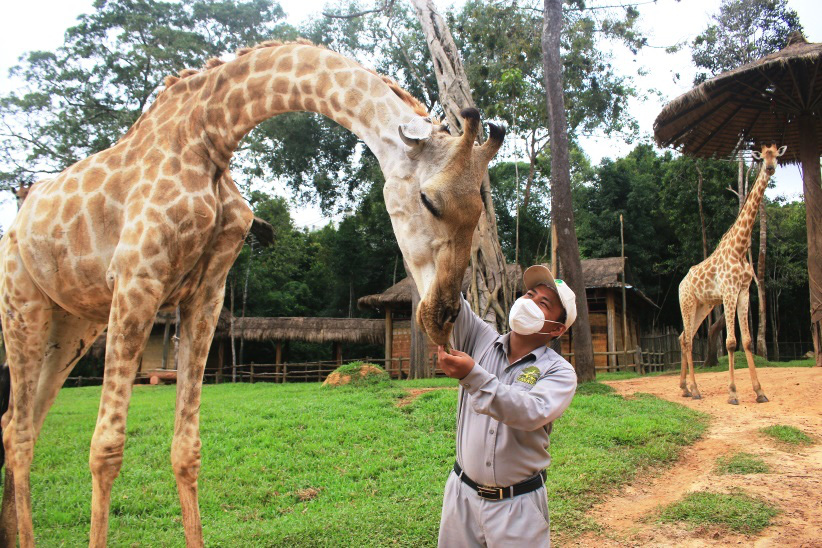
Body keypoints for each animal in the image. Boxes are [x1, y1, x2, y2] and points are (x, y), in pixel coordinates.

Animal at [0, 40, 506, 544]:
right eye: (428, 200)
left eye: (480, 211)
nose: (440, 317)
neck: (208, 133)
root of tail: (18, 219)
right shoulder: (137, 277)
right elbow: (106, 448)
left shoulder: (206, 293)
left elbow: (187, 448)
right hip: (22, 304)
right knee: (19, 432)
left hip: (72, 324)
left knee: (21, 423)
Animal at [680, 143, 788, 404]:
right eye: (762, 156)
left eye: (776, 156)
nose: (770, 168)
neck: (740, 249)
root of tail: (680, 284)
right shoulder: (729, 291)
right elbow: (730, 342)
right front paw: (732, 393)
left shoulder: (743, 291)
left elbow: (747, 341)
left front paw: (760, 392)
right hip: (687, 303)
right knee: (687, 340)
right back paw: (695, 390)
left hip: (702, 307)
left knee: (683, 337)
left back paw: (686, 388)